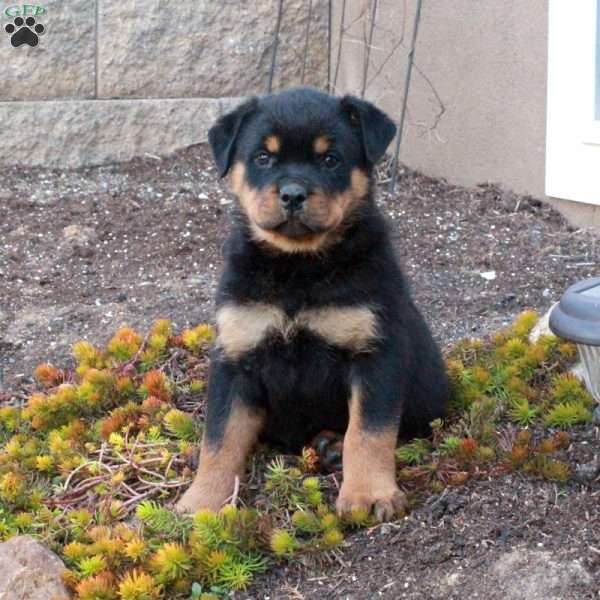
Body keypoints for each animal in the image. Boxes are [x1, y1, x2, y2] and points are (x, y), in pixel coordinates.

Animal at [176, 86, 448, 524]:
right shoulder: (235, 357)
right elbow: (218, 439)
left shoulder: (376, 354)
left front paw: (369, 494)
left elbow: (369, 432)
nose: (292, 194)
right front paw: (201, 504)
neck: (297, 268)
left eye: (330, 159)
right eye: (263, 157)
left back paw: (332, 445)